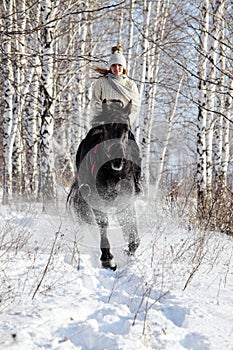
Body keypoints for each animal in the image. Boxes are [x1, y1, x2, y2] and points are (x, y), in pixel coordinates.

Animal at [67, 98, 140, 270]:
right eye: (106, 128)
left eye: (126, 128)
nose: (117, 159)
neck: (114, 174)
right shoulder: (96, 201)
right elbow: (103, 224)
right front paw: (108, 259)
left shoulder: (125, 200)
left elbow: (130, 226)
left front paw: (130, 250)